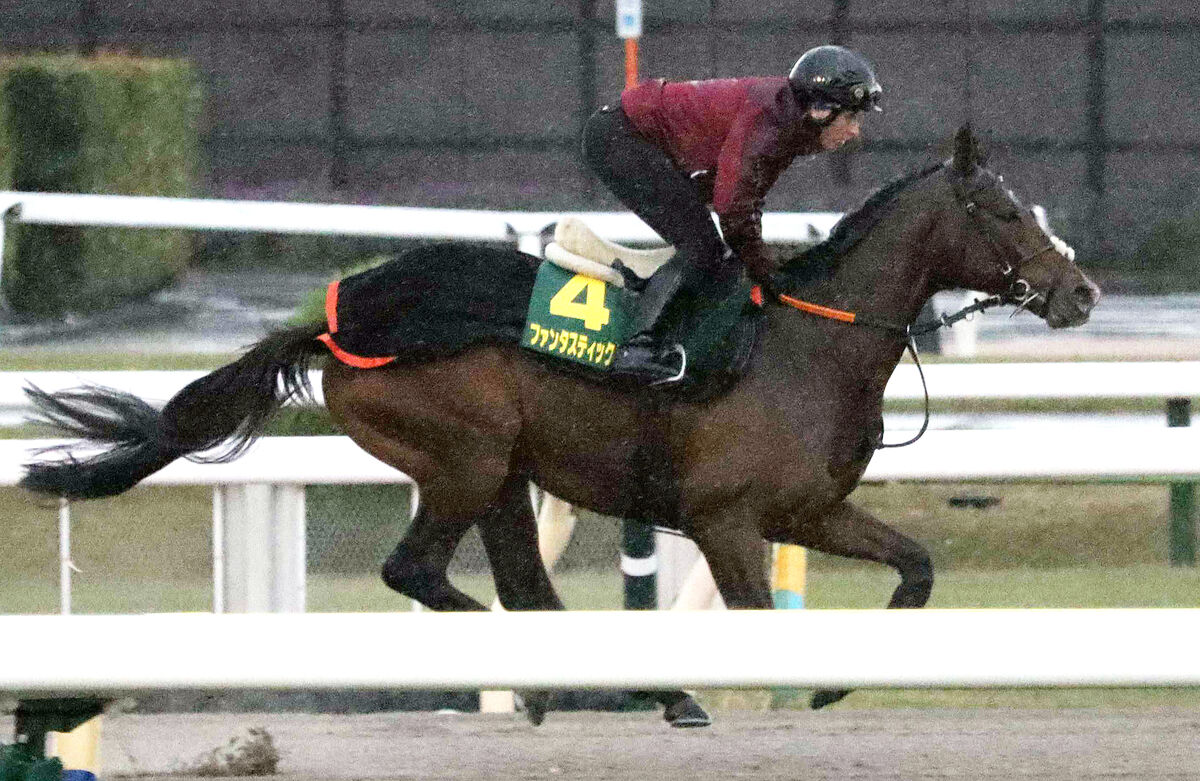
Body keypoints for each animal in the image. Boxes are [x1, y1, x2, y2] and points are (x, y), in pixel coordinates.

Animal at [23, 126, 1099, 719]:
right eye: (1005, 210)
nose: (1080, 291)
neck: (802, 341)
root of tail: (333, 320)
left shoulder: (806, 510)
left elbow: (917, 564)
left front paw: (838, 680)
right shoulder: (725, 521)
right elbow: (757, 618)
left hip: (501, 469)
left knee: (523, 588)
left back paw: (613, 688)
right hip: (464, 455)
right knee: (421, 571)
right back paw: (602, 686)